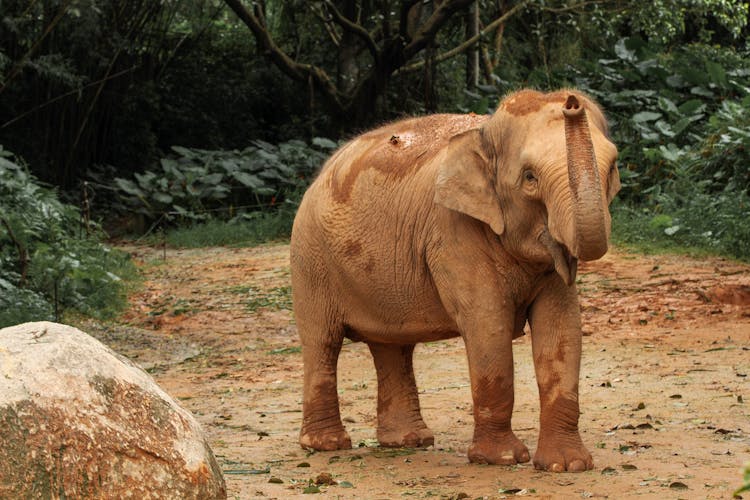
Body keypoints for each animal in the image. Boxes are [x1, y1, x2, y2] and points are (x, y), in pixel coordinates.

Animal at [290, 89, 620, 472]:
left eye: (613, 168)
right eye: (530, 178)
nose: (571, 101)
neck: (485, 133)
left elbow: (562, 327)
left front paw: (567, 466)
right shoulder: (452, 232)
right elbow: (487, 326)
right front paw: (501, 460)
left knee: (391, 347)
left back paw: (407, 442)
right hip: (309, 261)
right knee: (322, 342)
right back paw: (327, 445)